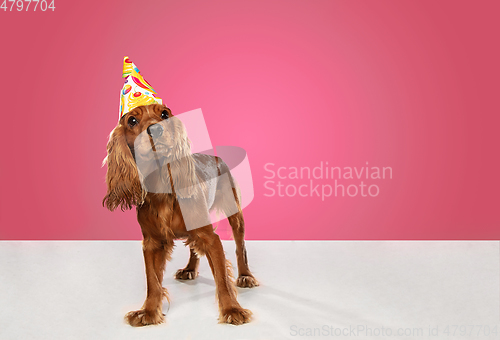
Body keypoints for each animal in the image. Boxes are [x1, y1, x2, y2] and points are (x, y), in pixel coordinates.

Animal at [101, 103, 258, 326]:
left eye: (164, 114)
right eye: (132, 120)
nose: (156, 129)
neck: (161, 188)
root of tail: (217, 157)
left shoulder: (210, 238)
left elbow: (222, 279)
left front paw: (232, 309)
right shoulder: (152, 243)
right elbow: (153, 282)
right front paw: (148, 312)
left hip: (234, 212)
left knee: (240, 245)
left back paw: (245, 275)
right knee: (194, 247)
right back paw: (190, 269)